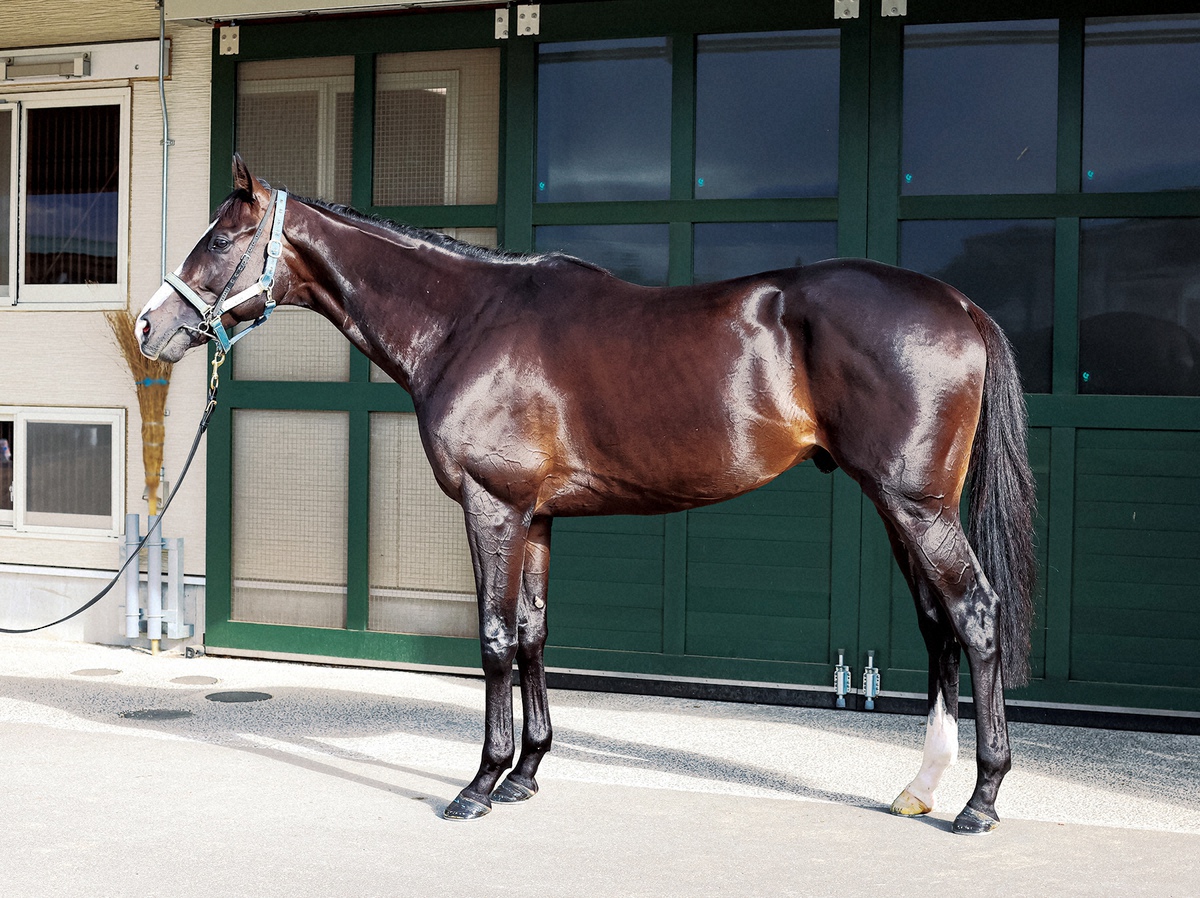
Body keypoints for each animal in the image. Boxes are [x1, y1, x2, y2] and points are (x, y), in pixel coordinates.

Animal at [138, 156, 1036, 835]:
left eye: (223, 237)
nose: (149, 326)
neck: (468, 321)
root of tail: (958, 303)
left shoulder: (491, 507)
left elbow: (495, 641)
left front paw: (478, 785)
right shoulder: (535, 517)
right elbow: (534, 634)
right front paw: (526, 773)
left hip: (916, 505)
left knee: (975, 615)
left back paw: (981, 801)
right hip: (900, 505)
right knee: (938, 625)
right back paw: (922, 786)